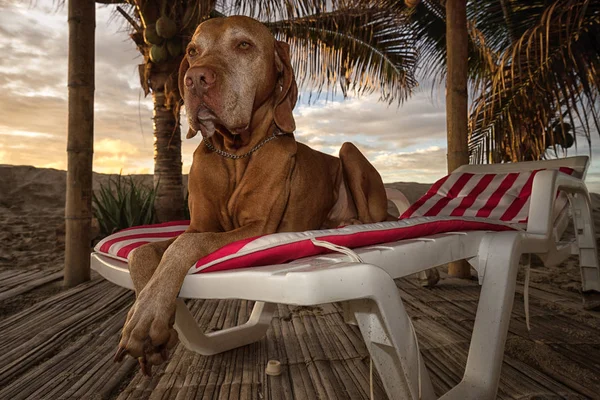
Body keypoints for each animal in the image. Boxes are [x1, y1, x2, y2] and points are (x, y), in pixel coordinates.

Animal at [114, 14, 392, 372]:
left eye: (244, 45)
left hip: (350, 152)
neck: (236, 154)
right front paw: (145, 317)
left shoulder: (257, 228)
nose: (194, 79)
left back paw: (352, 224)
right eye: (192, 51)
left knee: (374, 212)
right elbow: (142, 250)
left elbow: (184, 246)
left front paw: (147, 318)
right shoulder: (198, 225)